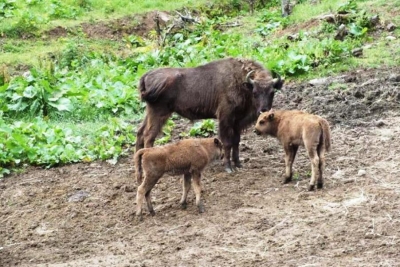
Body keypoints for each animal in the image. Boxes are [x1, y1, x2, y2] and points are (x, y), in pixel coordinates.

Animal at [136, 57, 282, 173]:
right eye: (255, 92)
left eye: (272, 92)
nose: (264, 110)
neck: (242, 82)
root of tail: (146, 76)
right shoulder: (226, 118)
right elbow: (227, 142)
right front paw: (228, 168)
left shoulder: (237, 122)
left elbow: (236, 141)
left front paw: (238, 164)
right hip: (159, 113)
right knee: (149, 136)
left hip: (151, 112)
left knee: (140, 133)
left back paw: (139, 167)